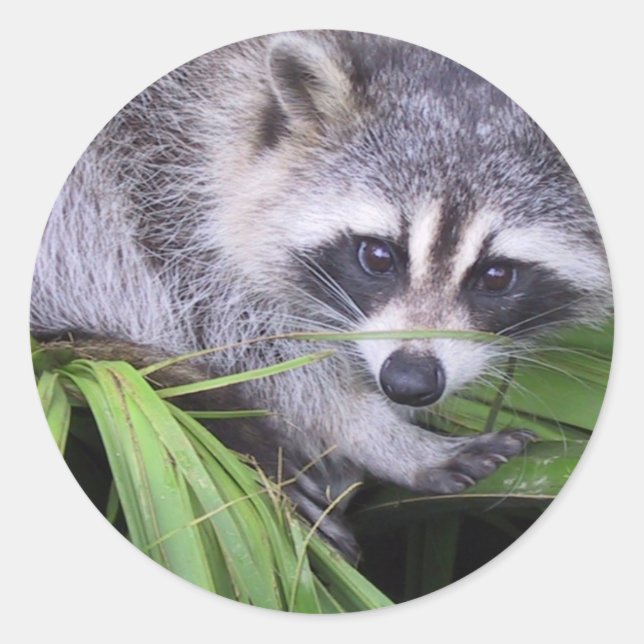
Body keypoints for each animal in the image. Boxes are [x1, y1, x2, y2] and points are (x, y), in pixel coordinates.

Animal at [31, 31, 612, 560]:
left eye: (496, 276)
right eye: (377, 256)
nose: (409, 382)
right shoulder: (159, 177)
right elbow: (244, 339)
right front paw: (376, 434)